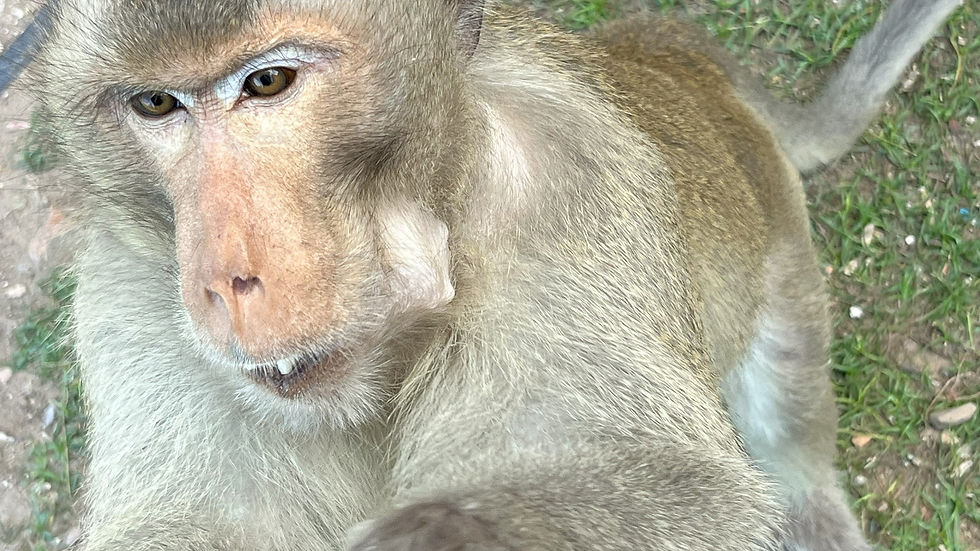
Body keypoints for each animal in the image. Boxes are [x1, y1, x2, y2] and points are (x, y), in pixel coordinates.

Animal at [20, 0, 962, 549]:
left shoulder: (570, 183)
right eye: (156, 104)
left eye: (268, 81)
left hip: (786, 260)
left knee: (791, 455)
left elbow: (698, 493)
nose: (226, 278)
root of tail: (699, 71)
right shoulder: (131, 286)